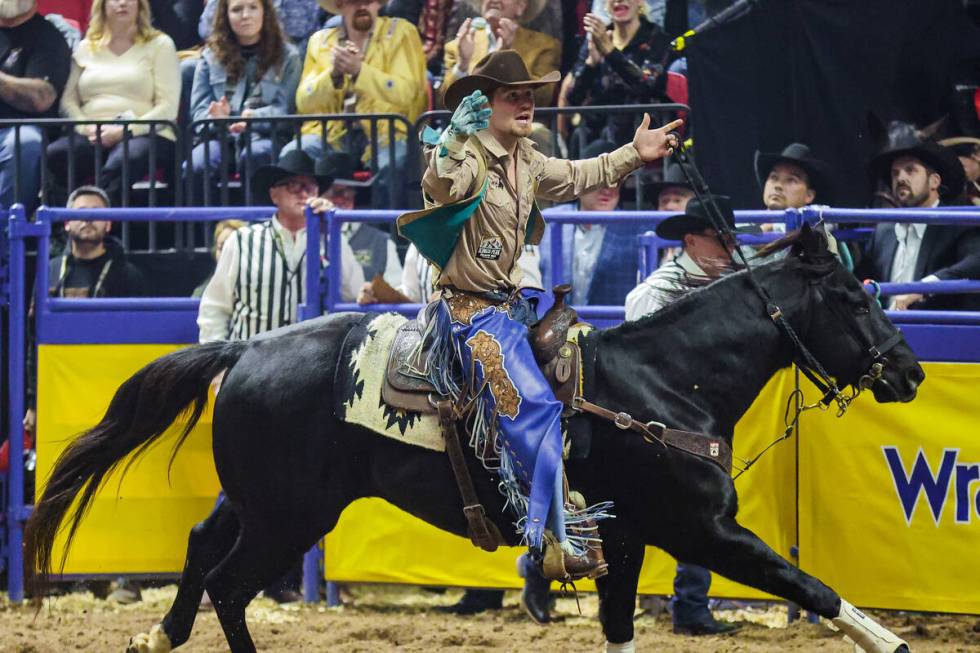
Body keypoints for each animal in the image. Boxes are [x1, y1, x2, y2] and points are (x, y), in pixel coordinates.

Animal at [24, 225, 928, 652]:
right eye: (852, 296)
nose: (912, 371)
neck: (668, 381)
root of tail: (245, 349)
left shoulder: (626, 538)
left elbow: (621, 627)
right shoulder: (703, 529)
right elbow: (808, 583)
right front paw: (891, 638)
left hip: (257, 499)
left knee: (199, 546)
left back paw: (157, 632)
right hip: (289, 517)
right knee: (229, 583)